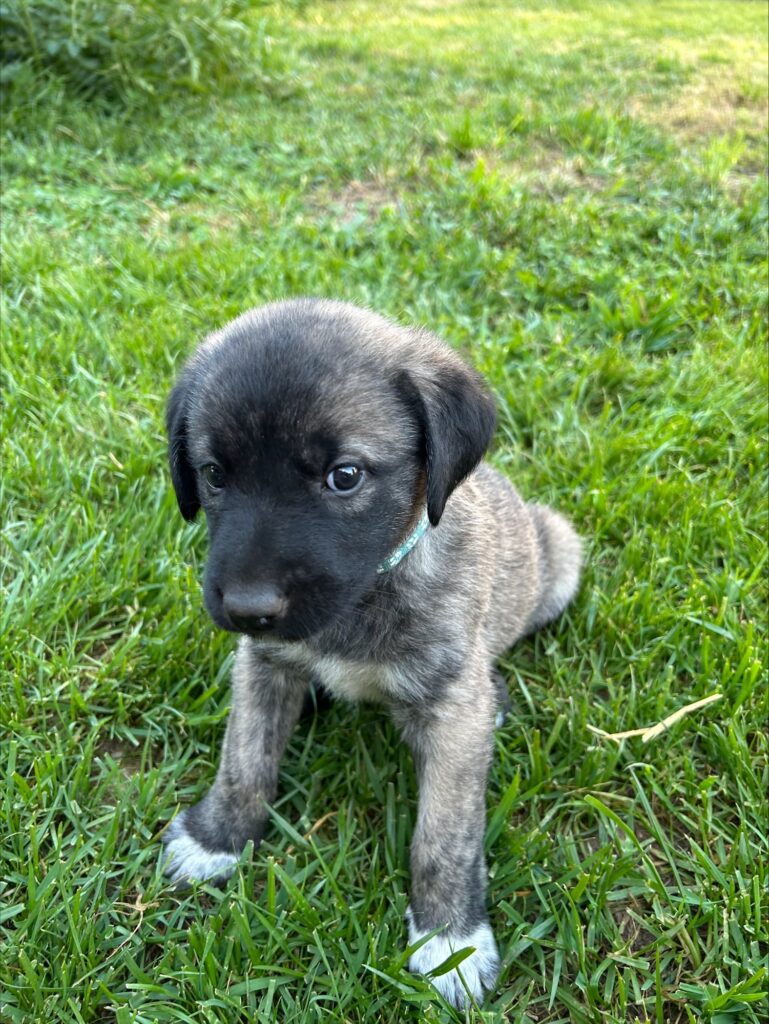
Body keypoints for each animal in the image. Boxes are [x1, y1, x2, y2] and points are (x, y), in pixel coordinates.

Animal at [163, 298, 582, 1008]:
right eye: (215, 475)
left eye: (345, 476)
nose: (248, 608)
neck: (367, 594)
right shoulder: (262, 665)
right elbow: (244, 759)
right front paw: (217, 837)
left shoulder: (451, 715)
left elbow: (443, 835)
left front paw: (451, 940)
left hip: (559, 557)